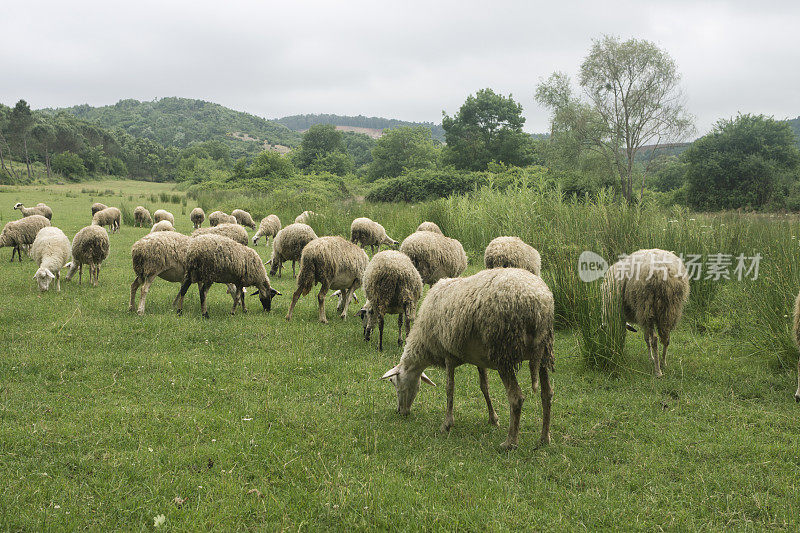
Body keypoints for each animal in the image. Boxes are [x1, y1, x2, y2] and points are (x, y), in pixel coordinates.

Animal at [382, 266, 556, 448]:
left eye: (393, 381)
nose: (400, 412)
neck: (424, 344)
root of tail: (538, 304)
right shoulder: (480, 359)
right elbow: (484, 387)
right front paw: (493, 419)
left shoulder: (448, 355)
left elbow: (449, 389)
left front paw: (447, 424)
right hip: (543, 354)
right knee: (547, 393)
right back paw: (544, 438)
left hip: (503, 353)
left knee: (516, 398)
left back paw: (510, 443)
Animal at [604, 249, 692, 378]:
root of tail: (664, 271)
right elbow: (646, 337)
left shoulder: (639, 314)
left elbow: (646, 338)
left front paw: (651, 358)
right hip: (670, 308)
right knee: (667, 337)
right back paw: (663, 362)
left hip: (646, 305)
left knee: (654, 339)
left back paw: (658, 370)